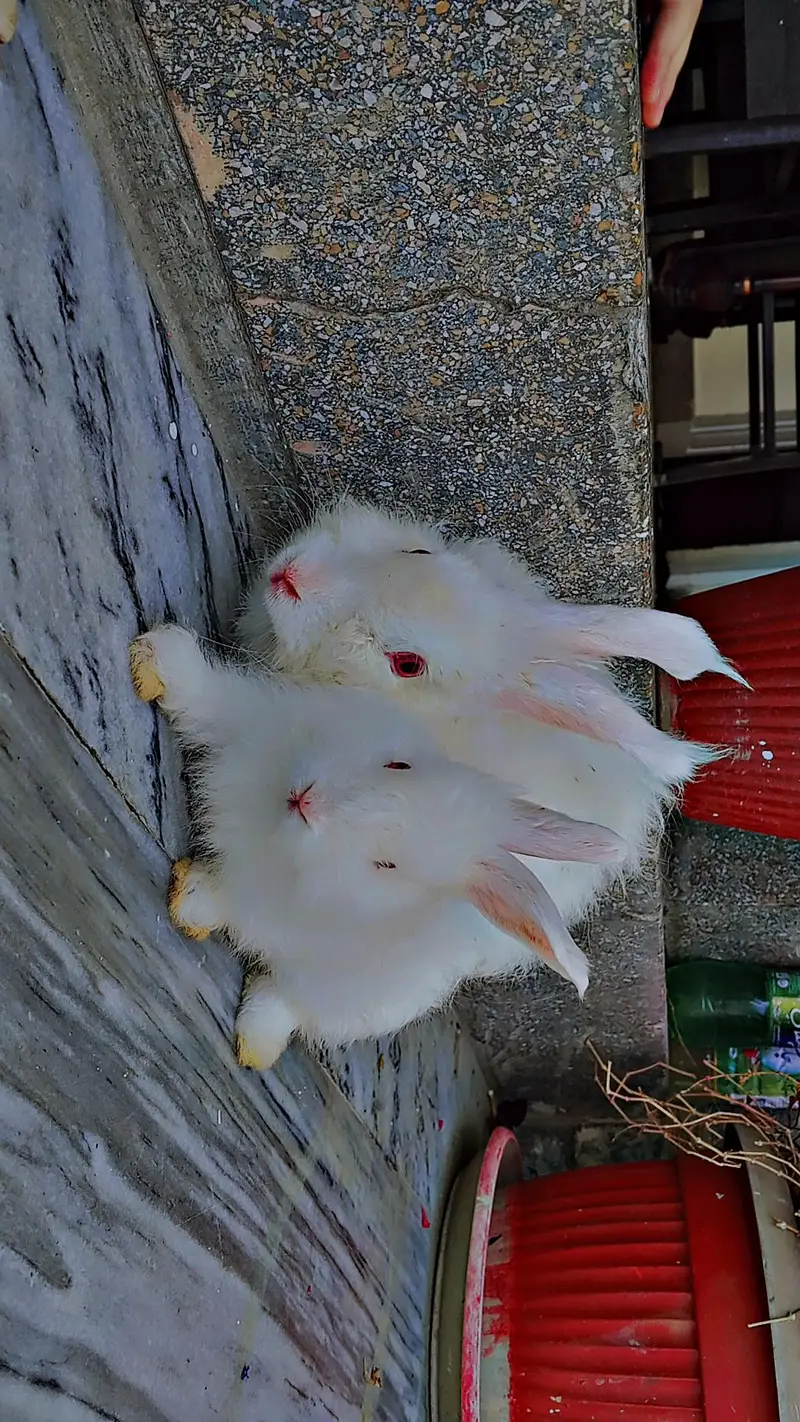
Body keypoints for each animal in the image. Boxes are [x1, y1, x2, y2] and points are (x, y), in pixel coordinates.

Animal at [129, 624, 626, 1068]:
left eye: (387, 866)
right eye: (399, 765)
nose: (308, 801)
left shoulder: (269, 907)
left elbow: (231, 904)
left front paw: (188, 904)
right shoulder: (252, 716)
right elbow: (203, 694)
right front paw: (150, 662)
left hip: (360, 997)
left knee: (290, 1004)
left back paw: (255, 1048)